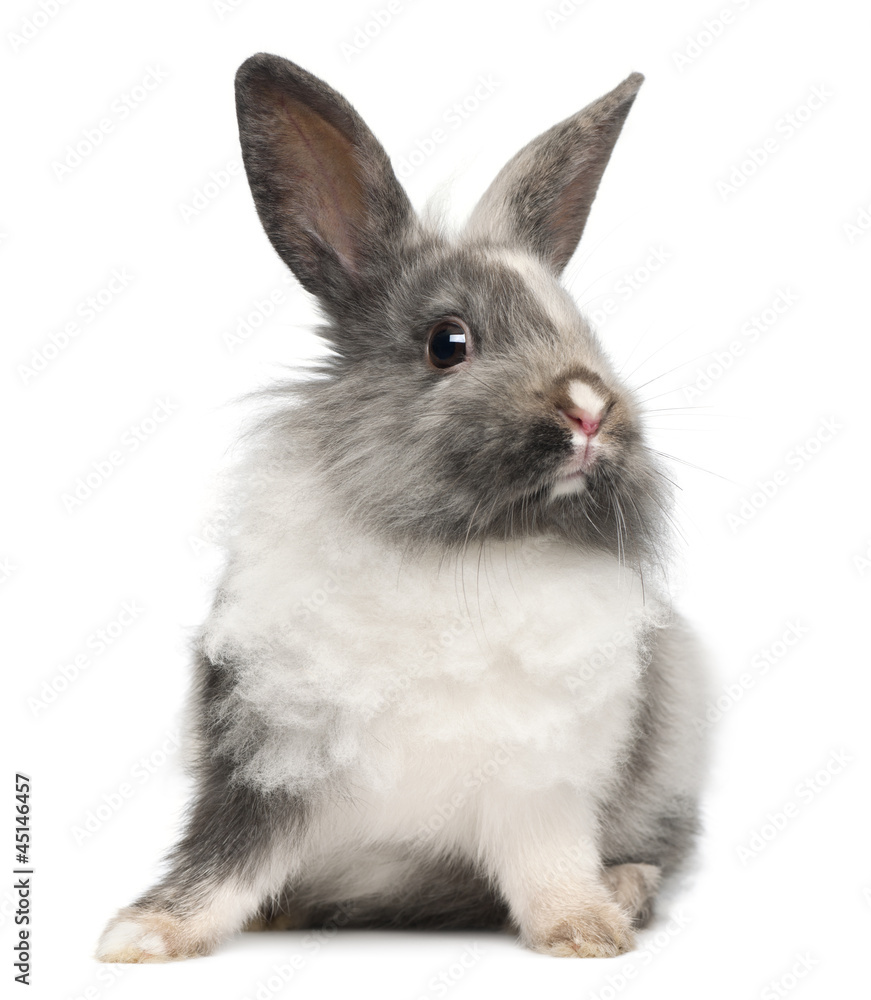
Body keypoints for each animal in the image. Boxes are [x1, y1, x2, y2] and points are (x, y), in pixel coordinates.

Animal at [96, 52, 709, 963]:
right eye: (446, 343)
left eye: (584, 331)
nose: (588, 408)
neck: (455, 549)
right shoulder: (264, 762)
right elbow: (222, 861)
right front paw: (143, 936)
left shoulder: (544, 786)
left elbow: (550, 865)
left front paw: (585, 931)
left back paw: (625, 887)